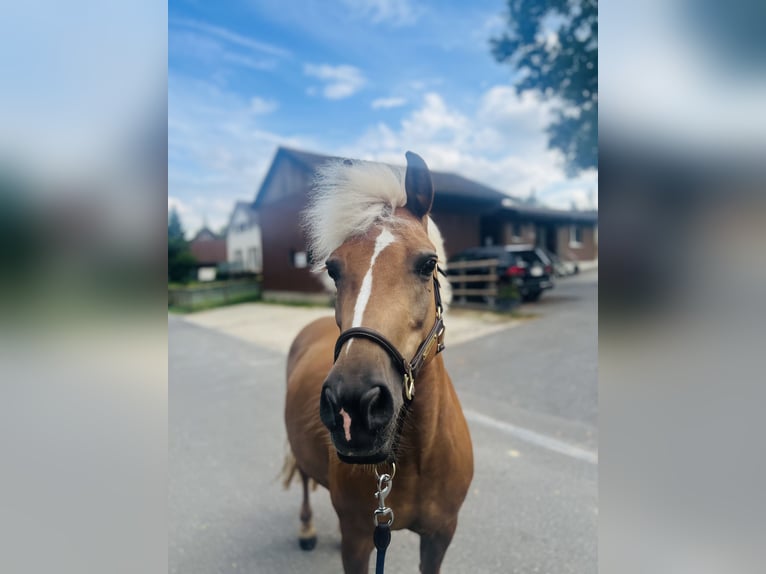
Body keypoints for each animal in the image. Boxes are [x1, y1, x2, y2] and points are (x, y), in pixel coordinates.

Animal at [284, 151, 474, 572]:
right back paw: (304, 530)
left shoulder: (441, 535)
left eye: (428, 263)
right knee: (303, 479)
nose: (353, 406)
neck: (416, 457)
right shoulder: (358, 540)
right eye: (334, 269)